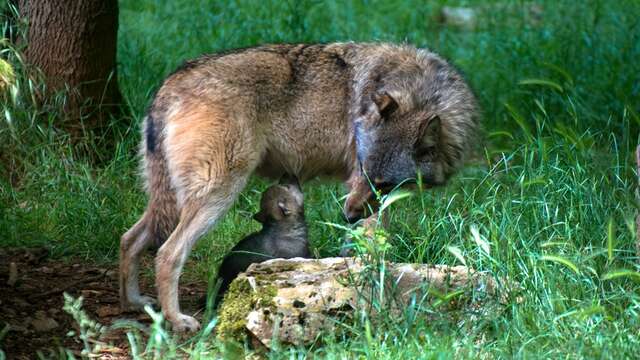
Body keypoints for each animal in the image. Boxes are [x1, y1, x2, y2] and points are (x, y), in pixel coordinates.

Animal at [120, 43, 478, 332]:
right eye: (362, 169)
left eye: (384, 183)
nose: (347, 216)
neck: (419, 90)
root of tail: (172, 83)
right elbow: (373, 246)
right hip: (217, 197)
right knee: (167, 254)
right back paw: (177, 320)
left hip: (169, 203)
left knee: (129, 239)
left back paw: (133, 302)